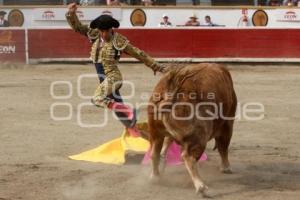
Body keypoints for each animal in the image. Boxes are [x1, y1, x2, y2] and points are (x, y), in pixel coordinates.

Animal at [147, 63, 237, 197]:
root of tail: (169, 94)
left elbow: (168, 141)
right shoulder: (227, 124)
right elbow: (223, 147)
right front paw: (226, 168)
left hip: (155, 132)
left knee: (154, 153)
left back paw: (155, 177)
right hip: (200, 137)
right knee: (188, 156)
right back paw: (201, 187)